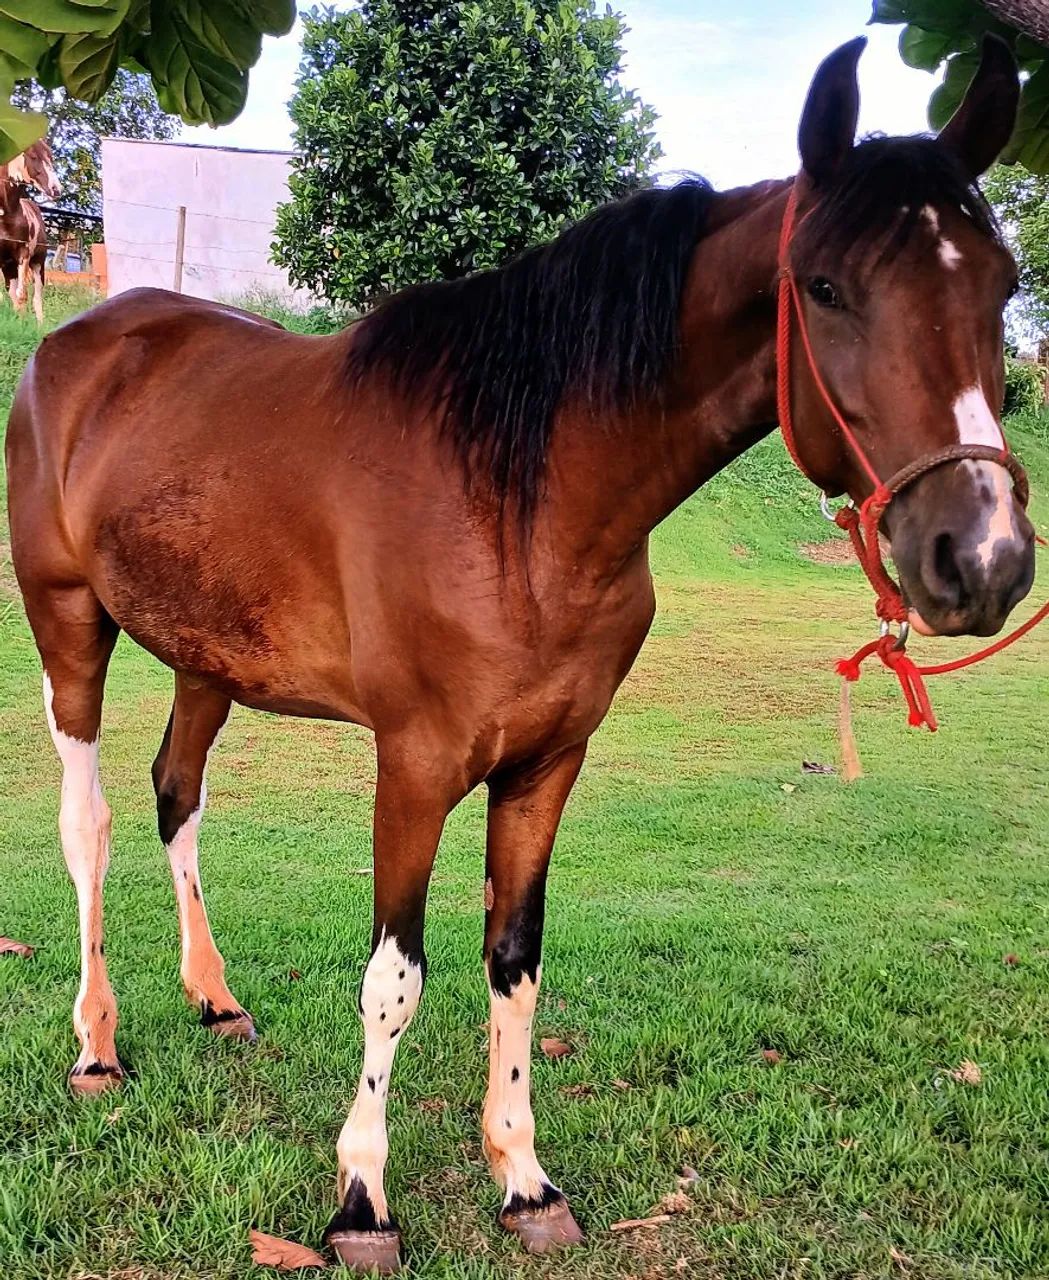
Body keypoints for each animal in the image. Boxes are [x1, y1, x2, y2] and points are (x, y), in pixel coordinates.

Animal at [0, 139, 61, 324]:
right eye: (33, 156)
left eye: (51, 156)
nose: (56, 189)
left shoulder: (24, 253)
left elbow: (23, 295)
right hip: (8, 266)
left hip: (37, 264)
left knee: (36, 296)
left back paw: (39, 325)